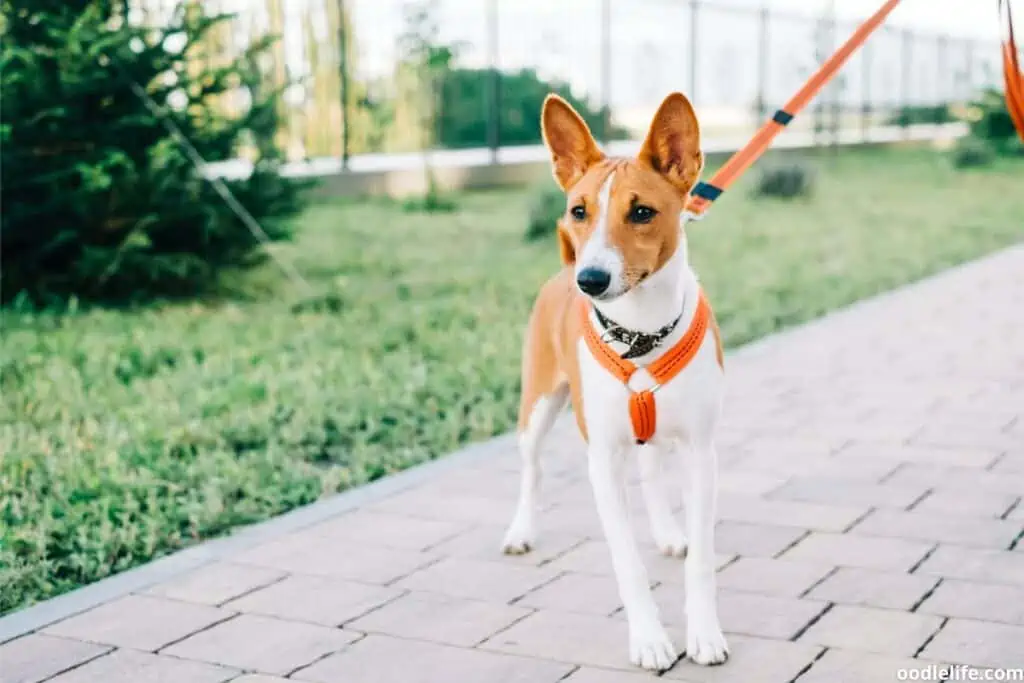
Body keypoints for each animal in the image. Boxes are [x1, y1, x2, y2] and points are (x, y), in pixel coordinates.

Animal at [497, 93, 729, 671]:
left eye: (641, 212)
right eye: (579, 211)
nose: (591, 280)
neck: (640, 333)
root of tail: (562, 270)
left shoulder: (701, 453)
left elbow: (702, 560)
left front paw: (704, 633)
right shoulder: (602, 460)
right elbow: (628, 565)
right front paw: (649, 639)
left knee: (650, 471)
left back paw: (668, 532)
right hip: (536, 408)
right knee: (532, 470)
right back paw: (521, 531)